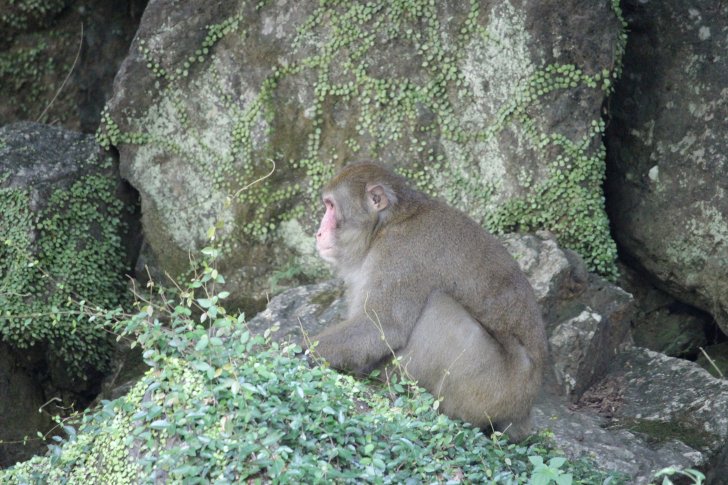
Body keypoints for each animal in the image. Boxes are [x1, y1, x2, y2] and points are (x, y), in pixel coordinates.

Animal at [312, 162, 544, 438]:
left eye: (331, 206)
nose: (318, 233)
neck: (388, 224)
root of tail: (525, 408)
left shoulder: (399, 254)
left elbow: (382, 327)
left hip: (490, 389)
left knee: (438, 308)